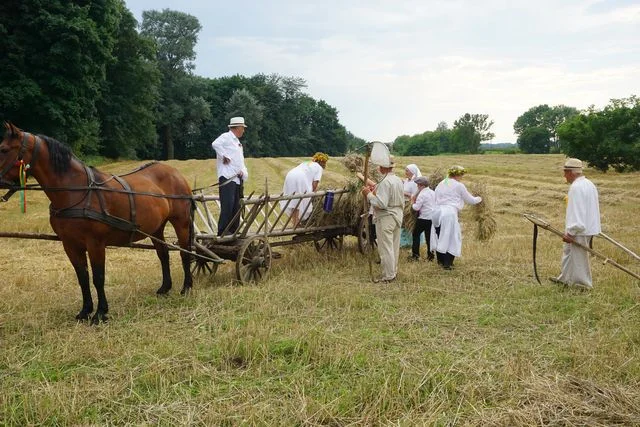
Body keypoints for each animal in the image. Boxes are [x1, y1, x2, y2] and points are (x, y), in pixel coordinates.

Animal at [0, 123, 195, 324]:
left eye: (4, 149)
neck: (76, 190)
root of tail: (176, 173)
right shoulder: (70, 245)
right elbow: (83, 277)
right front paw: (85, 311)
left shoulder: (95, 243)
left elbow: (98, 277)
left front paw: (100, 313)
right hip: (156, 228)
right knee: (163, 254)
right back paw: (165, 288)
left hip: (181, 223)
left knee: (185, 253)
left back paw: (186, 287)